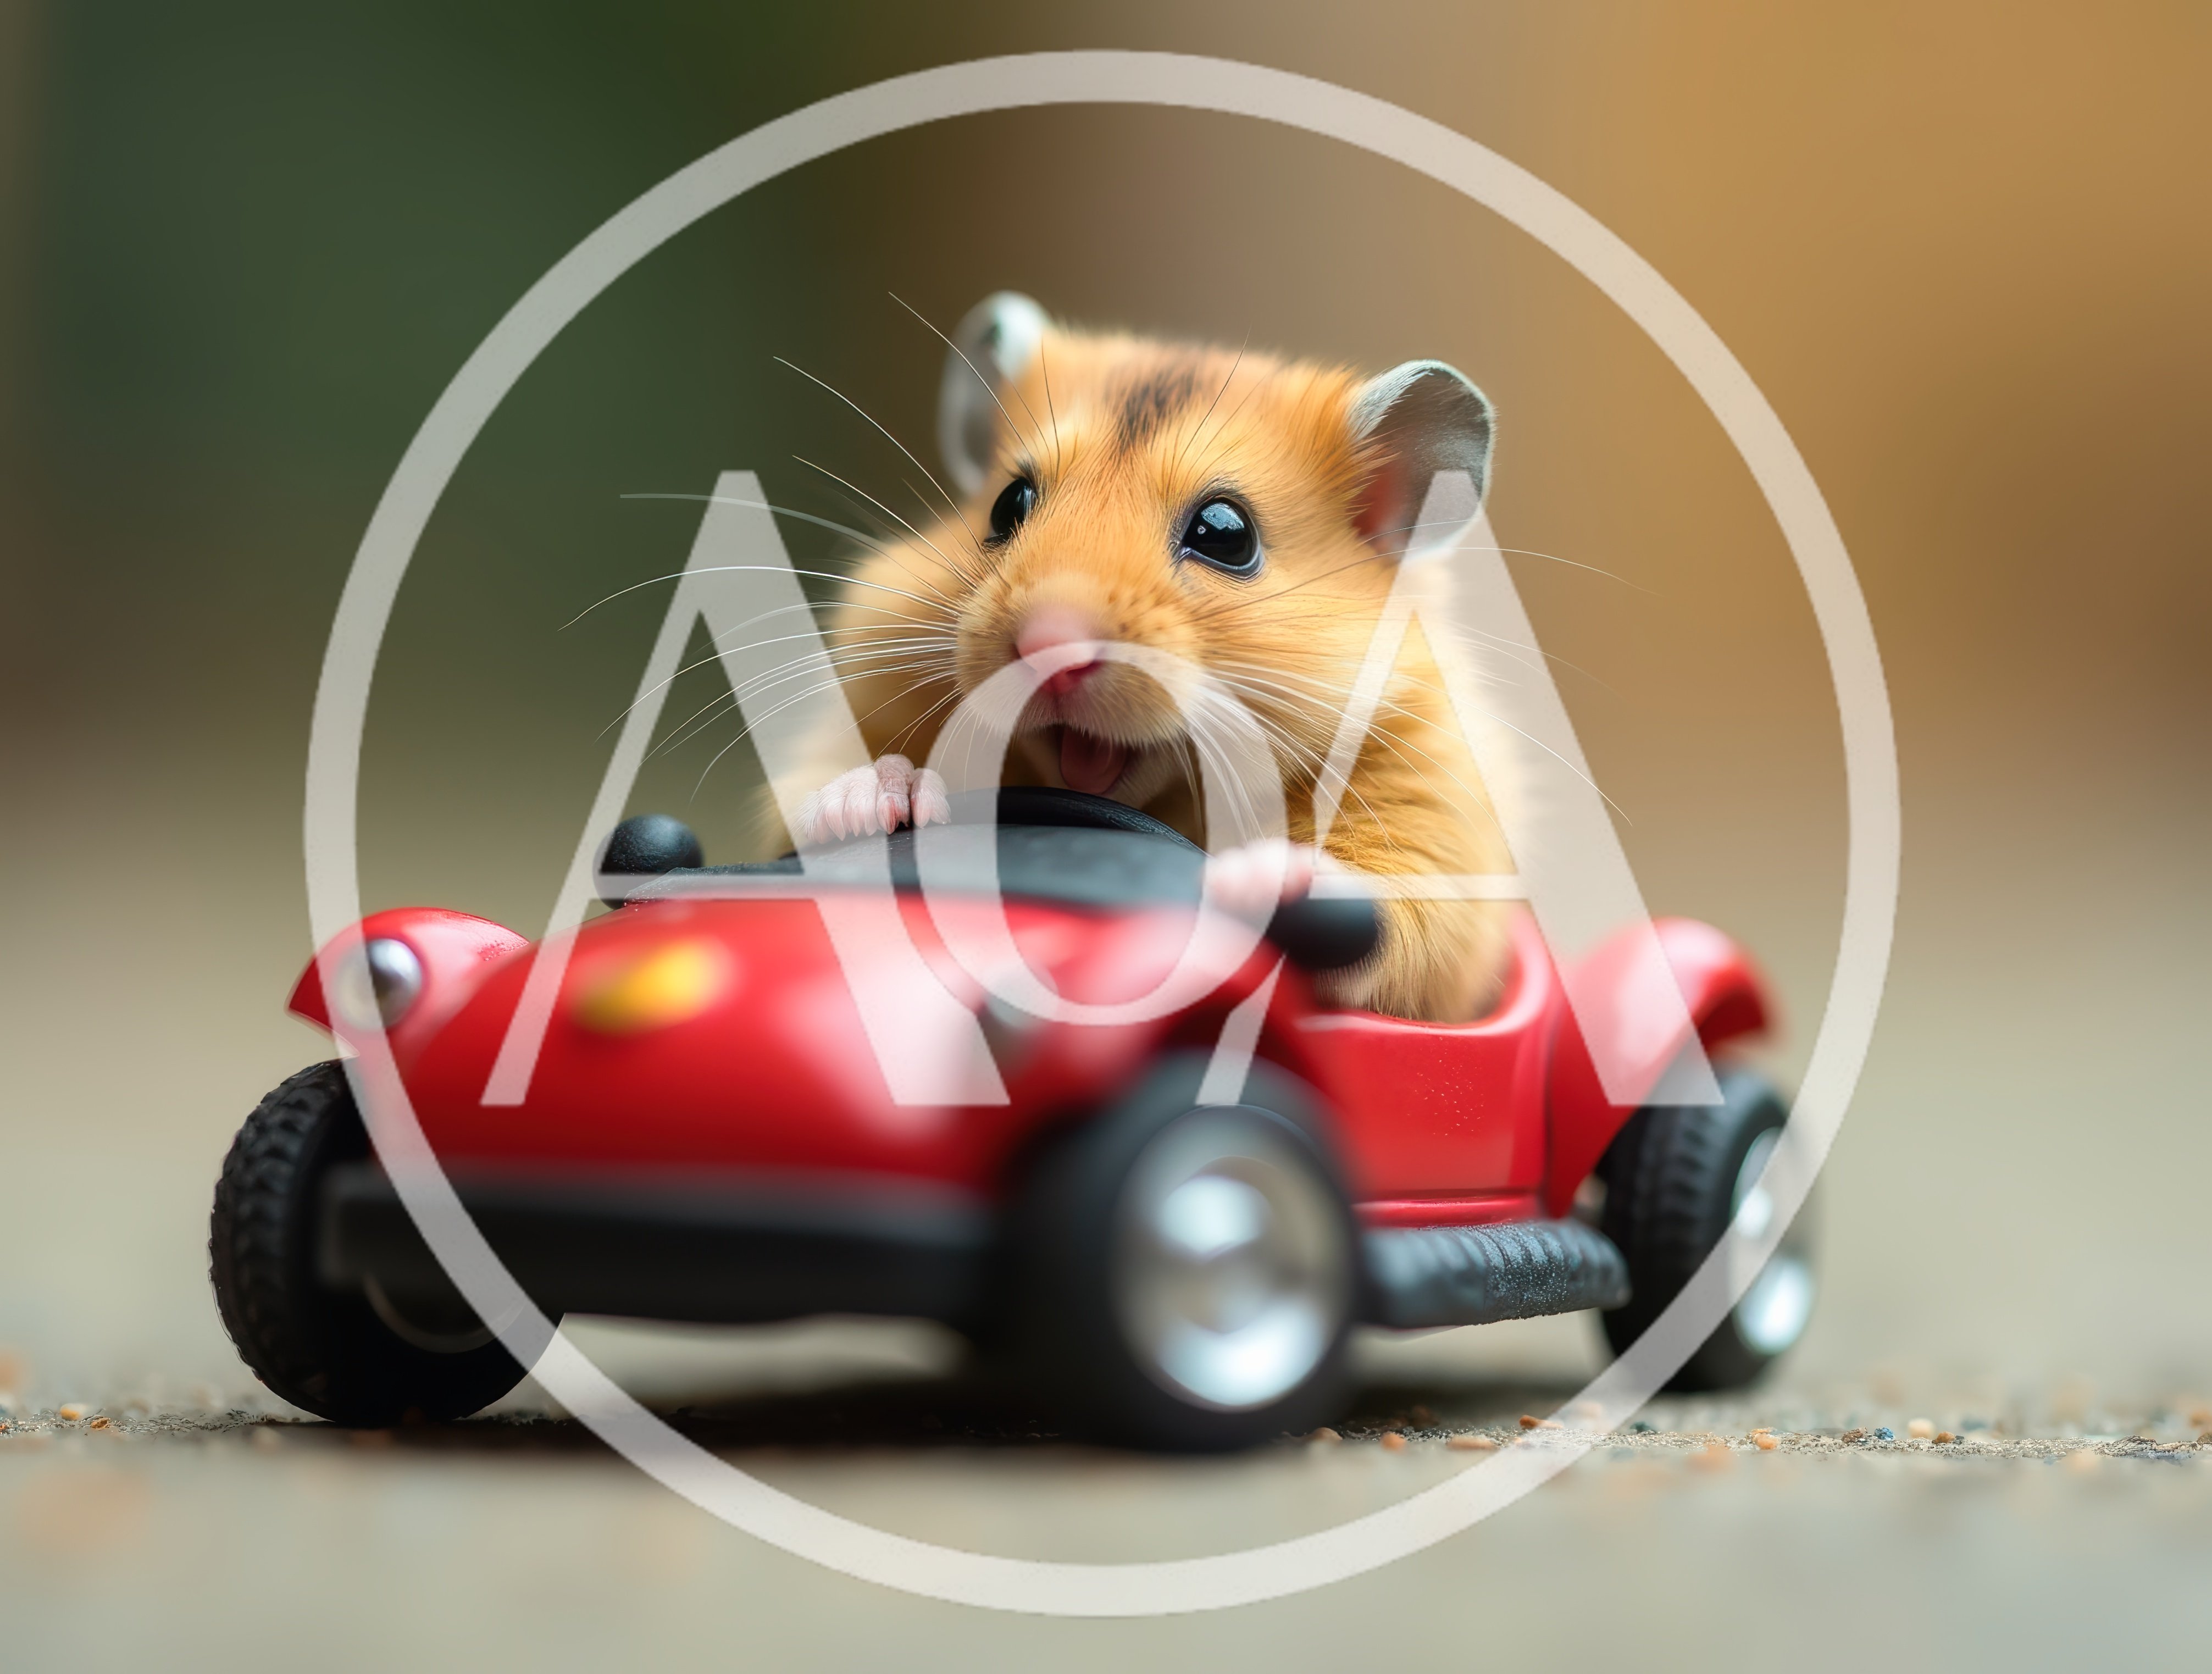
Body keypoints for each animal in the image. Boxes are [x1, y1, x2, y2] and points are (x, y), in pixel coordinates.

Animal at [774, 293, 1513, 1023]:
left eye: (1225, 533)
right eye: (1008, 504)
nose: (1046, 648)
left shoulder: (1430, 811)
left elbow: (1395, 913)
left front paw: (1261, 878)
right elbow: (818, 794)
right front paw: (884, 796)